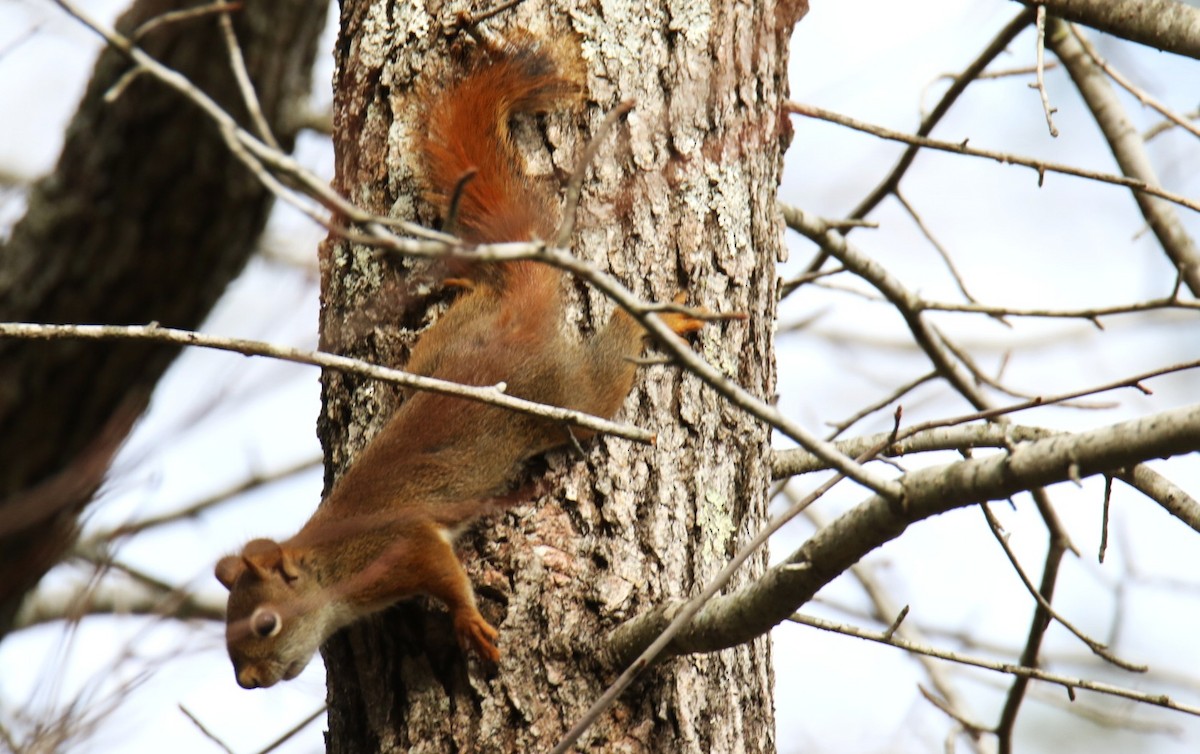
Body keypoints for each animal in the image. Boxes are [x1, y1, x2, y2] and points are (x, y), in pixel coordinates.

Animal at [215, 35, 704, 689]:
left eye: (265, 623)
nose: (247, 680)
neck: (330, 564)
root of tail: (515, 317)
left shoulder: (402, 546)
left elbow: (445, 574)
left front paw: (468, 621)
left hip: (561, 397)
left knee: (603, 376)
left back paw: (654, 323)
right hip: (439, 348)